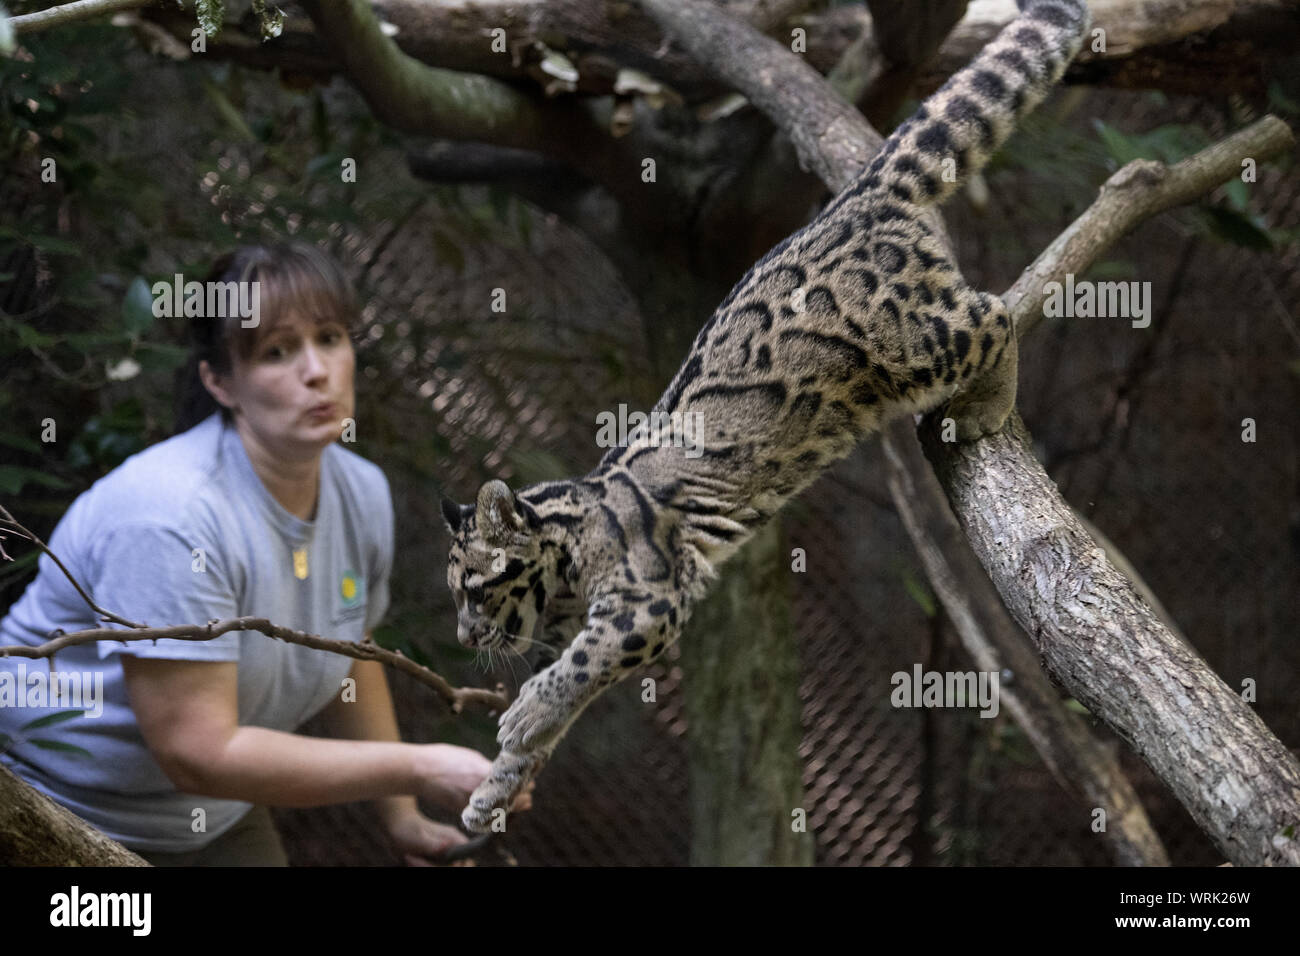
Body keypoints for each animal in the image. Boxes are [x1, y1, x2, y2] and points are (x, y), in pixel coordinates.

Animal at [441, 0, 1091, 833]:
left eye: (473, 588)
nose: (463, 635)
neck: (565, 577)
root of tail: (858, 196)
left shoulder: (649, 599)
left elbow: (579, 666)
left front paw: (523, 714)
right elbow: (559, 712)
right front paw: (496, 786)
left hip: (912, 345)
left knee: (995, 311)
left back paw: (988, 402)